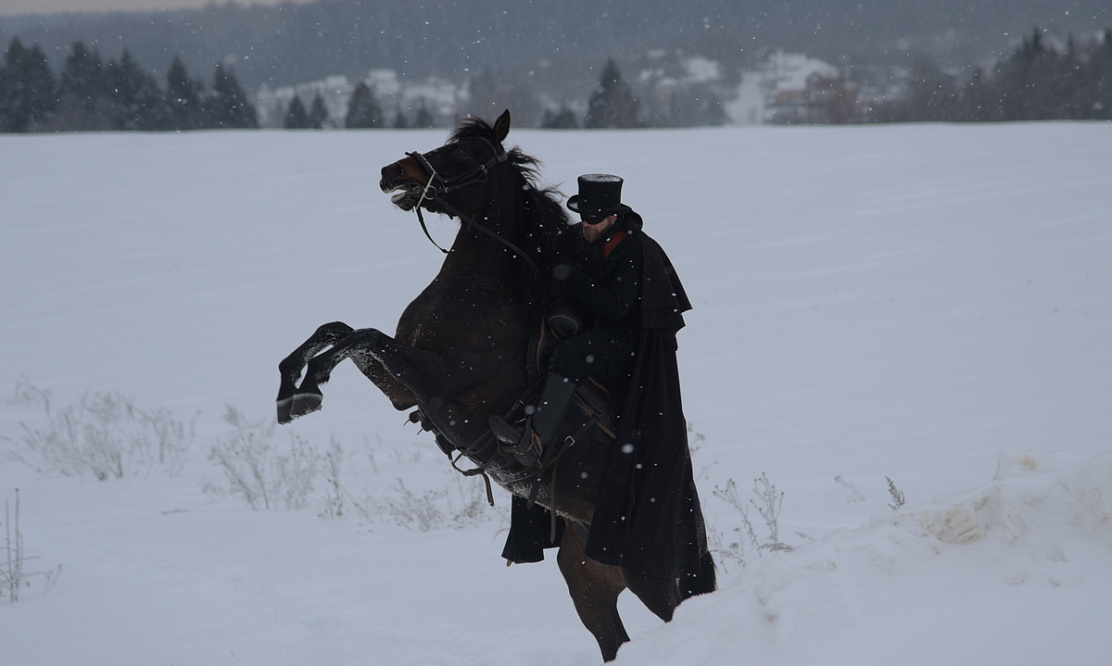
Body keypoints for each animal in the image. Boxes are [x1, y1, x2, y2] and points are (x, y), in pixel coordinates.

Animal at [280, 110, 711, 662]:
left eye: (463, 156)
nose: (392, 172)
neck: (480, 290)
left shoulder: (438, 387)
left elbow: (363, 336)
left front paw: (307, 388)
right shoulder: (403, 389)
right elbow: (338, 331)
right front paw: (292, 383)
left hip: (652, 582)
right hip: (588, 583)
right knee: (612, 639)